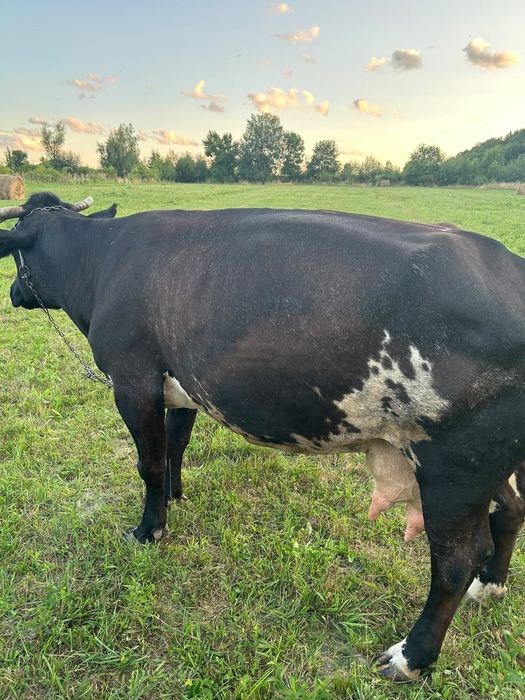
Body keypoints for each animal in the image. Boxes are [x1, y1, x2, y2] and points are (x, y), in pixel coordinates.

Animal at [0, 191, 524, 682]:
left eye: (17, 256)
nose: (11, 292)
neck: (102, 262)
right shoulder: (181, 384)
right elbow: (174, 445)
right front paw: (173, 495)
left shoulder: (133, 379)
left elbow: (148, 462)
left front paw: (149, 528)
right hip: (488, 464)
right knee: (511, 510)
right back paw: (491, 585)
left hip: (454, 465)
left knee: (456, 562)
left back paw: (411, 657)